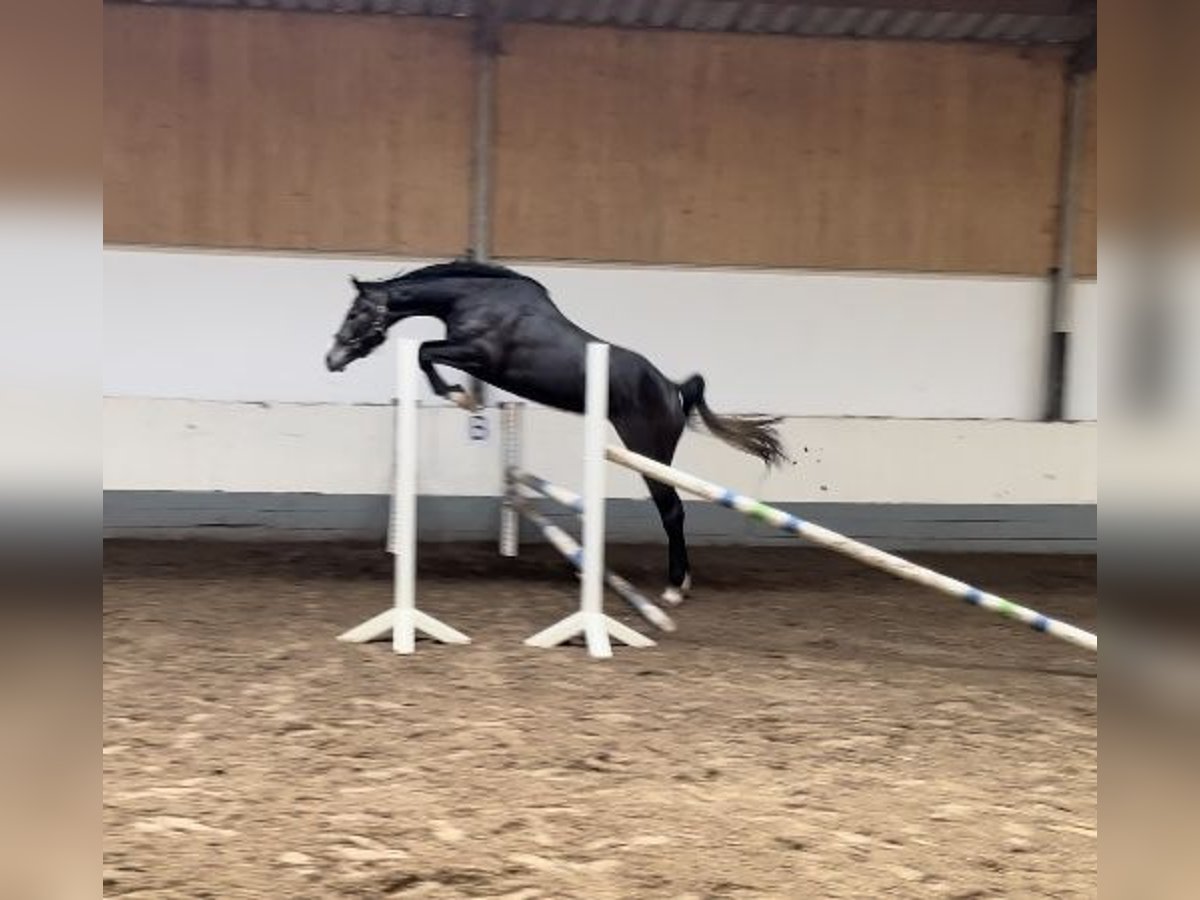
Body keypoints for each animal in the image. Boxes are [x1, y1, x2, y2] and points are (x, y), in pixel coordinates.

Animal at [324, 259, 787, 607]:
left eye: (355, 313)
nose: (332, 358)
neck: (474, 298)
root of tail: (672, 389)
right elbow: (425, 354)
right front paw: (461, 397)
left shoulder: (478, 355)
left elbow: (425, 353)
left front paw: (460, 397)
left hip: (648, 452)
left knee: (672, 511)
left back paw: (675, 588)